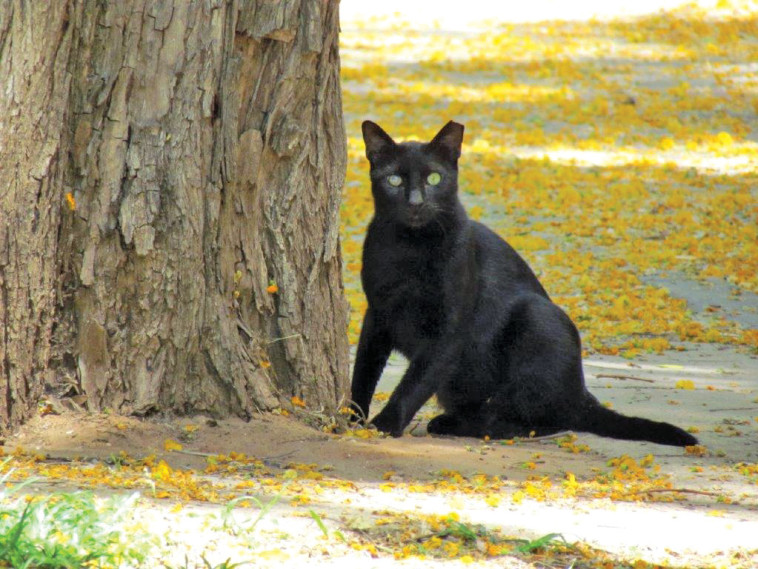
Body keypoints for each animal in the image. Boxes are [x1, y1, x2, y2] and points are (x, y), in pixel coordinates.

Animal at [350, 121, 700, 448]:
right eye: (394, 180)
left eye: (434, 179)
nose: (415, 202)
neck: (408, 248)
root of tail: (583, 391)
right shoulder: (377, 315)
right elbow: (363, 371)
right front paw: (351, 418)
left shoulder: (448, 328)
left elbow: (416, 381)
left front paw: (384, 425)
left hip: (536, 318)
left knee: (542, 419)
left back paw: (458, 424)